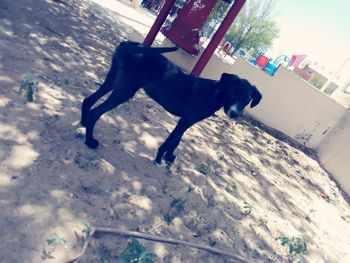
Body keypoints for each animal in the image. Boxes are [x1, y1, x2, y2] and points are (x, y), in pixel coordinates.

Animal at [80, 40, 262, 166]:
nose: (234, 113)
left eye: (247, 99)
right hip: (124, 90)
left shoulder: (186, 121)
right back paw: (90, 141)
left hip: (112, 81)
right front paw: (159, 159)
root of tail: (128, 44)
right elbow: (170, 141)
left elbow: (176, 141)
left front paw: (168, 157)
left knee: (88, 100)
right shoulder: (186, 120)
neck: (215, 92)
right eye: (233, 93)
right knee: (95, 112)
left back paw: (83, 122)